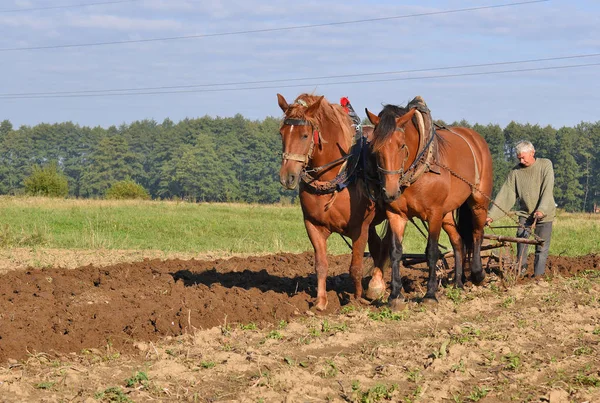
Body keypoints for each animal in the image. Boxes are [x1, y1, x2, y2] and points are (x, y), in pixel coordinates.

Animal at [278, 93, 390, 310]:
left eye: (305, 135)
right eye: (282, 133)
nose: (287, 177)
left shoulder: (359, 227)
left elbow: (355, 266)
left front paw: (356, 301)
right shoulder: (312, 224)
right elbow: (321, 265)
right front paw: (321, 302)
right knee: (378, 246)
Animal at [366, 97, 492, 310]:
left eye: (401, 145)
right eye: (375, 146)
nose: (390, 192)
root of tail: (475, 137)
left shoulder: (434, 213)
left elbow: (432, 252)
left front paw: (430, 295)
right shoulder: (396, 215)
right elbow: (395, 251)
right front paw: (395, 295)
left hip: (478, 200)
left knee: (477, 233)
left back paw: (478, 274)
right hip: (447, 213)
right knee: (458, 241)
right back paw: (458, 283)